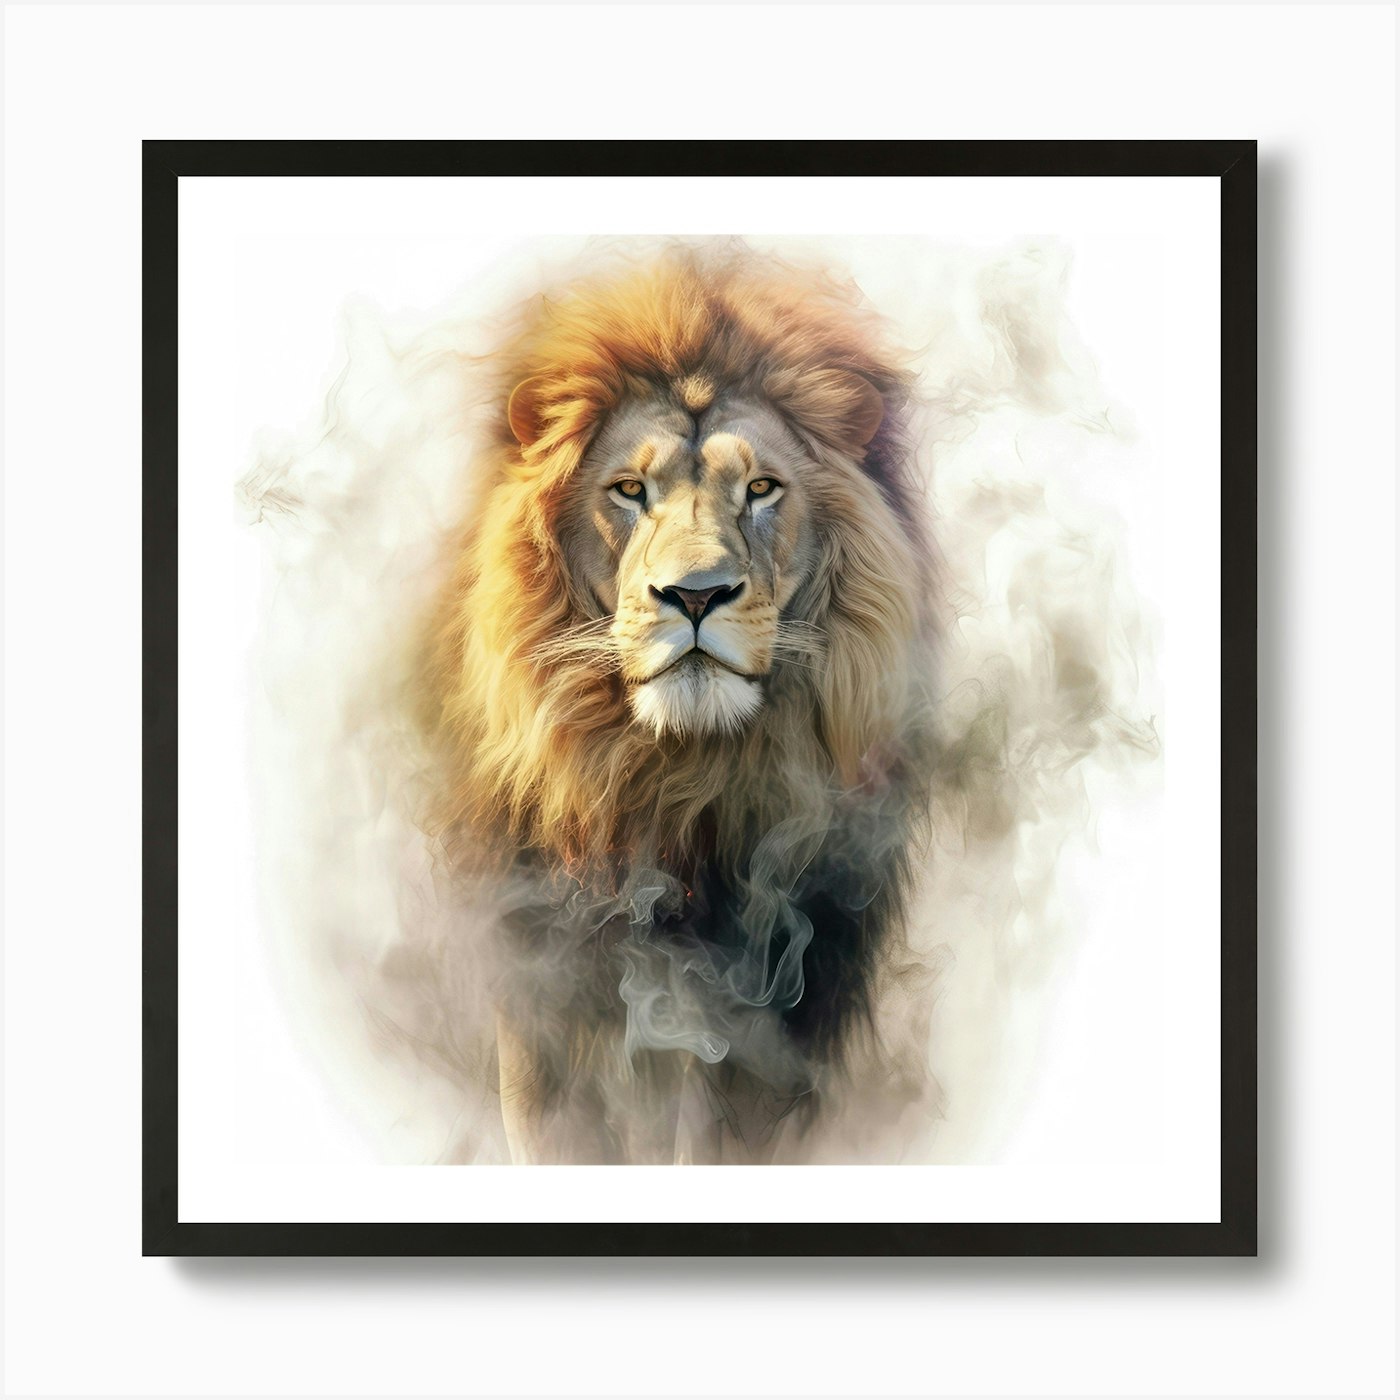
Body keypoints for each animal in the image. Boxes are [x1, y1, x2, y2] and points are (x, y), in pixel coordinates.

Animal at [417, 248, 939, 1163]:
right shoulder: (538, 1005)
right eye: (629, 489)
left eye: (761, 488)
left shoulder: (782, 1022)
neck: (677, 789)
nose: (695, 595)